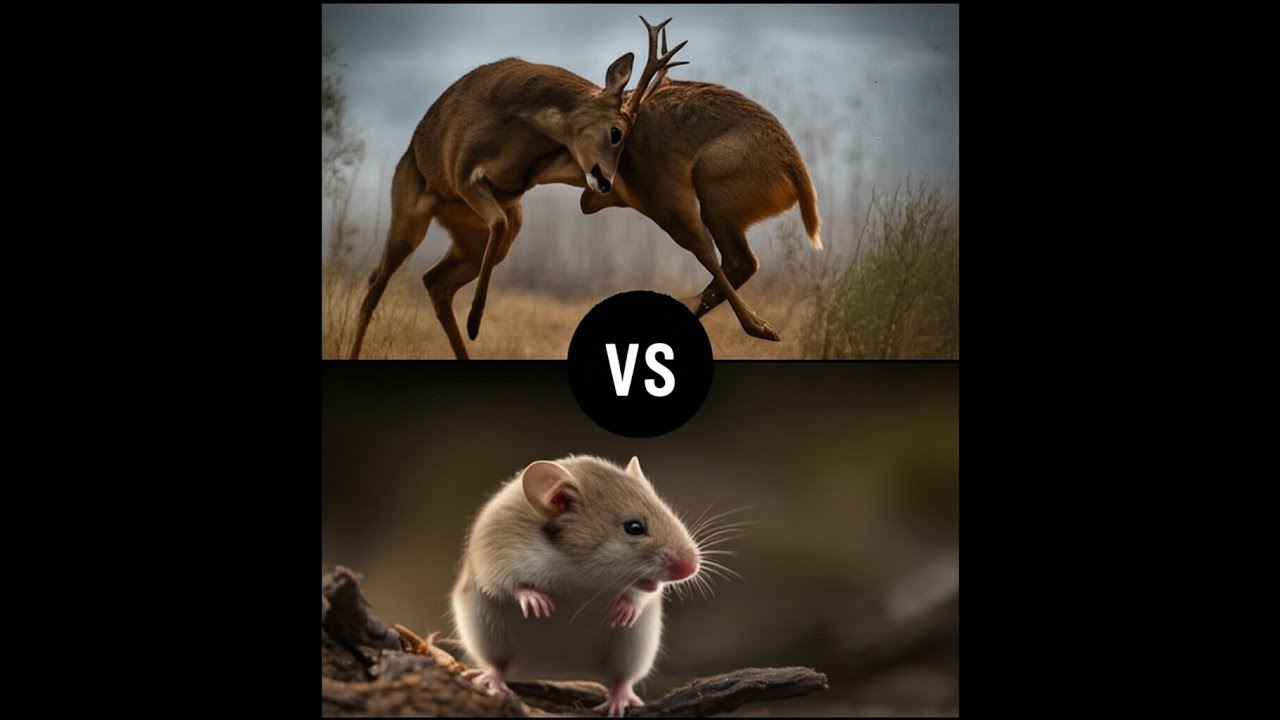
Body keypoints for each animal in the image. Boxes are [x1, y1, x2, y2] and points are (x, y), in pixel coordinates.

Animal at [347, 18, 687, 360]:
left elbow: (503, 218)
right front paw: (475, 321)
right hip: (409, 216)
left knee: (435, 281)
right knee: (377, 282)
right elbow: (496, 219)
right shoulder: (462, 173)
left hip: (478, 234)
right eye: (616, 132)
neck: (521, 117)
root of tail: (409, 157)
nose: (605, 182)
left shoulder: (544, 169)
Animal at [579, 30, 823, 342]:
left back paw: (756, 326)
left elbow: (700, 246)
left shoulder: (666, 200)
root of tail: (796, 170)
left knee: (739, 261)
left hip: (712, 197)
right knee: (737, 263)